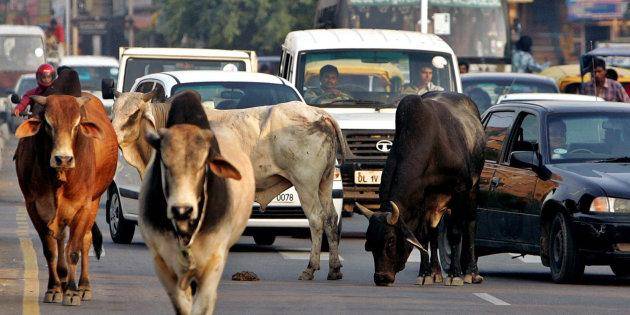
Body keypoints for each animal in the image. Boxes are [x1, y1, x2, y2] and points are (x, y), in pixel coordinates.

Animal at [13, 93, 117, 306]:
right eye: (47, 124)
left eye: (76, 125)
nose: (63, 159)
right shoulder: (34, 206)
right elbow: (50, 250)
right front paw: (53, 289)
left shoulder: (84, 206)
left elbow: (74, 251)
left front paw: (72, 292)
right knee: (60, 238)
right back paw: (61, 281)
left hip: (94, 202)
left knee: (86, 240)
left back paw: (83, 286)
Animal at [358, 92, 486, 288]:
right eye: (369, 244)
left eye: (391, 241)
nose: (381, 278)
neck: (432, 148)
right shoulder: (422, 202)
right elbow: (422, 237)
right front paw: (425, 274)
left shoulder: (459, 191)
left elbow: (455, 233)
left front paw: (455, 275)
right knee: (433, 233)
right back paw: (435, 272)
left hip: (473, 189)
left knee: (470, 224)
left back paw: (471, 273)